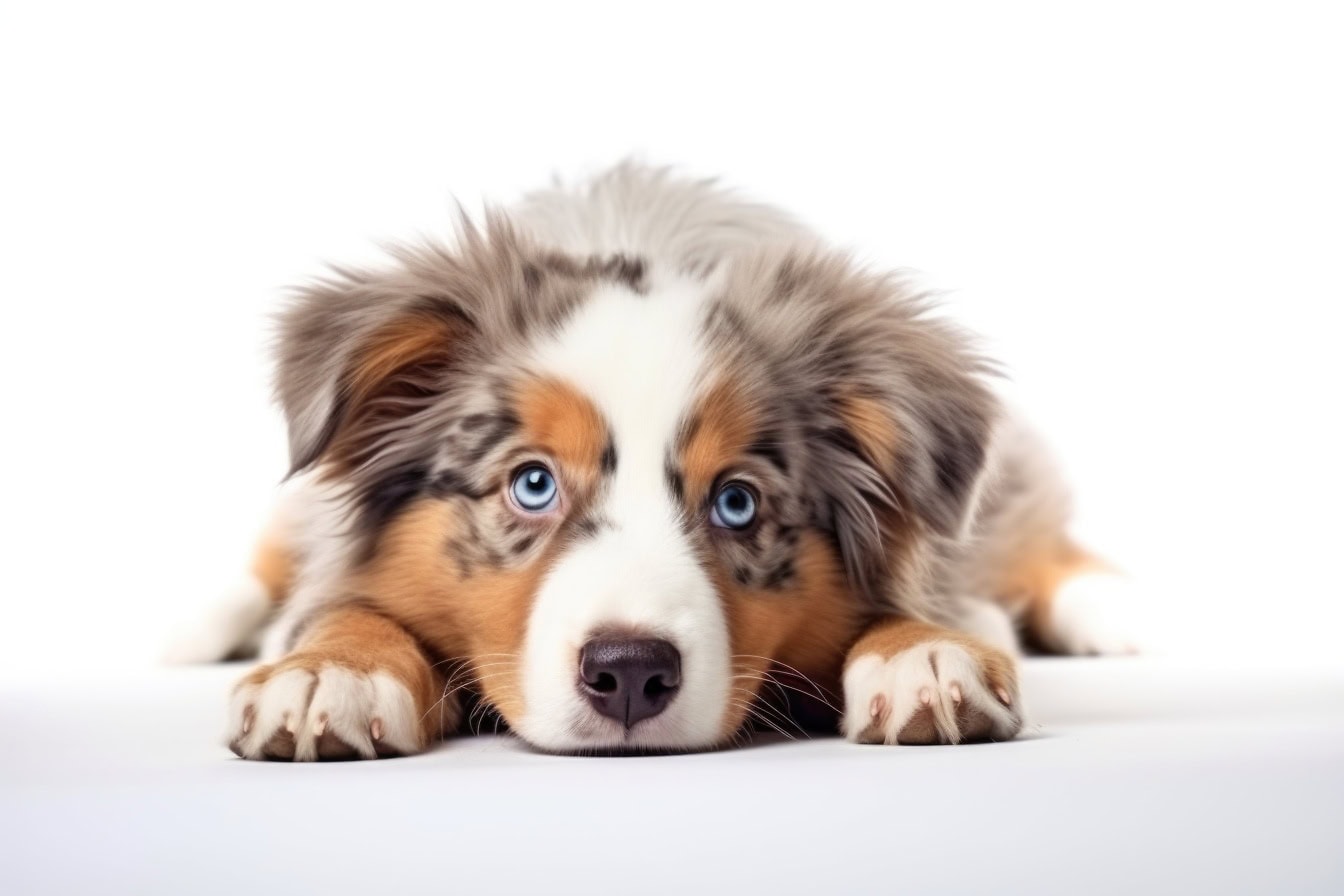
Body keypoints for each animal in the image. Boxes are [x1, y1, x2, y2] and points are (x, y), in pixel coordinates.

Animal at [178, 164, 1139, 763]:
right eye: (532, 483)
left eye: (738, 502)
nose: (631, 673)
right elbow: (343, 605)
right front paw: (326, 673)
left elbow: (907, 607)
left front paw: (926, 656)